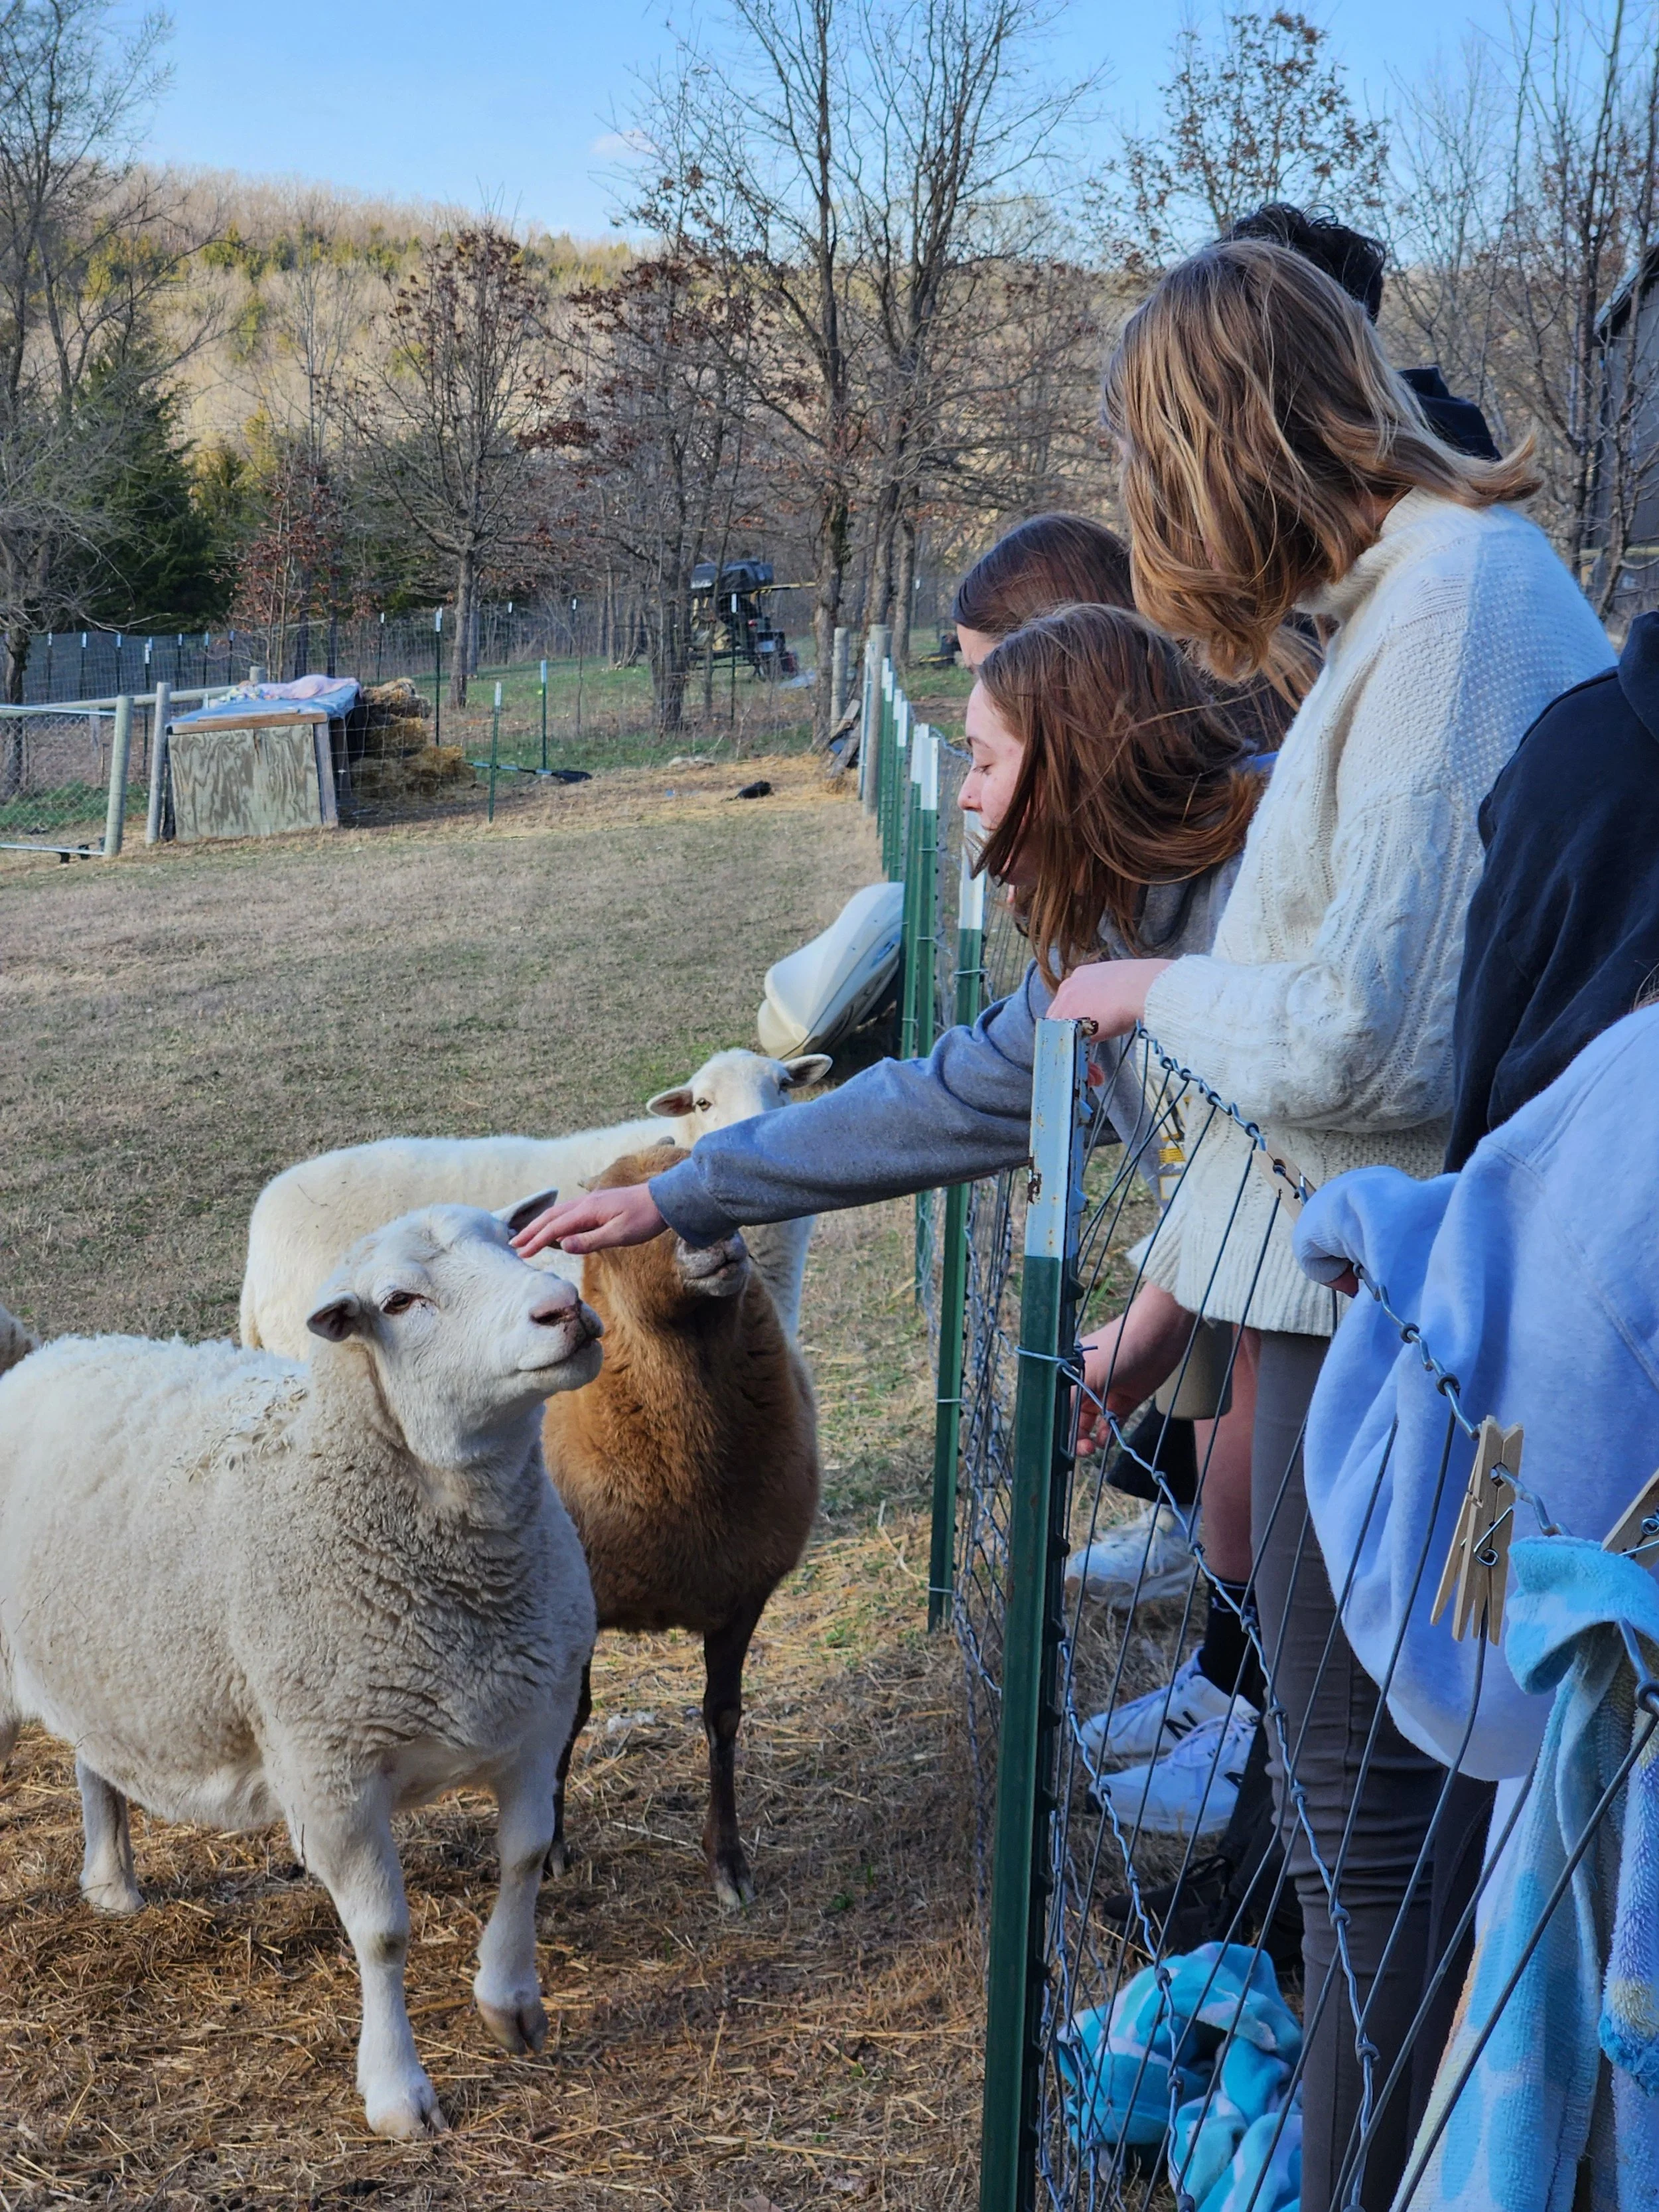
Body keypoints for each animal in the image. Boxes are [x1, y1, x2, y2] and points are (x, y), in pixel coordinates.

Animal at [0, 1198, 603, 2141]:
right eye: (398, 1302)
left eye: (512, 1242)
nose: (562, 1309)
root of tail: (45, 1357)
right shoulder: (331, 1770)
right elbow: (384, 1934)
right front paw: (396, 2092)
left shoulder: (534, 1723)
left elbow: (525, 1858)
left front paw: (510, 2006)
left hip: (104, 1662)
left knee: (94, 1761)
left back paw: (111, 1885)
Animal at [539, 1145, 820, 1910]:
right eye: (603, 1222)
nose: (717, 1241)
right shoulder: (576, 1608)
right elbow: (565, 1720)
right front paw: (549, 1848)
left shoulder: (743, 1593)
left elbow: (722, 1718)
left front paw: (727, 1863)